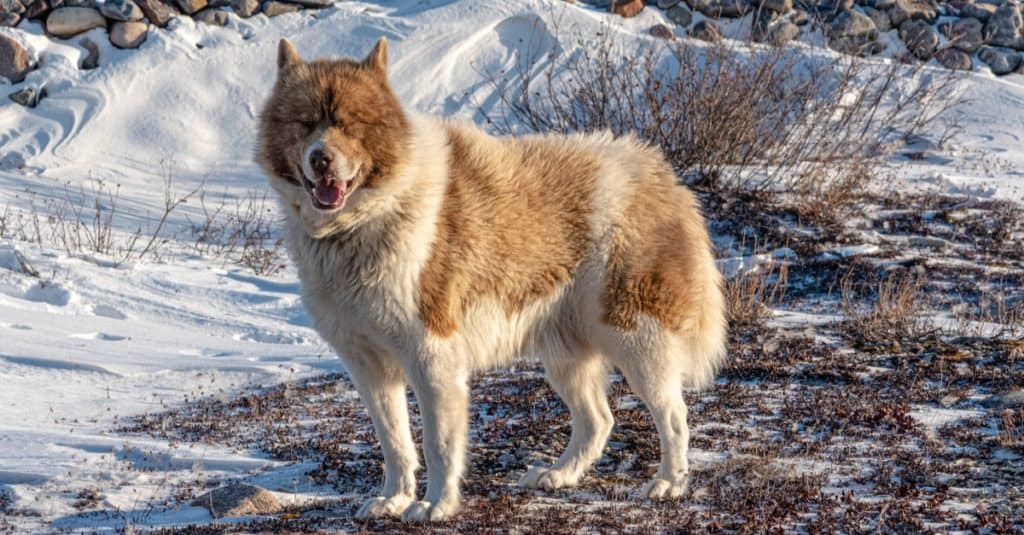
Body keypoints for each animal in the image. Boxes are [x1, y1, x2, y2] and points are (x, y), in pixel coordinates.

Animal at [256, 37, 729, 520]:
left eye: (351, 124)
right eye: (306, 123)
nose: (322, 159)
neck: (368, 216)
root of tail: (661, 175)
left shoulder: (432, 357)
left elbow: (439, 445)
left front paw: (436, 505)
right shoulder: (369, 367)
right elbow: (395, 443)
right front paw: (394, 498)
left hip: (637, 341)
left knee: (674, 417)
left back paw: (669, 483)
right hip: (565, 355)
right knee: (599, 420)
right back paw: (559, 475)